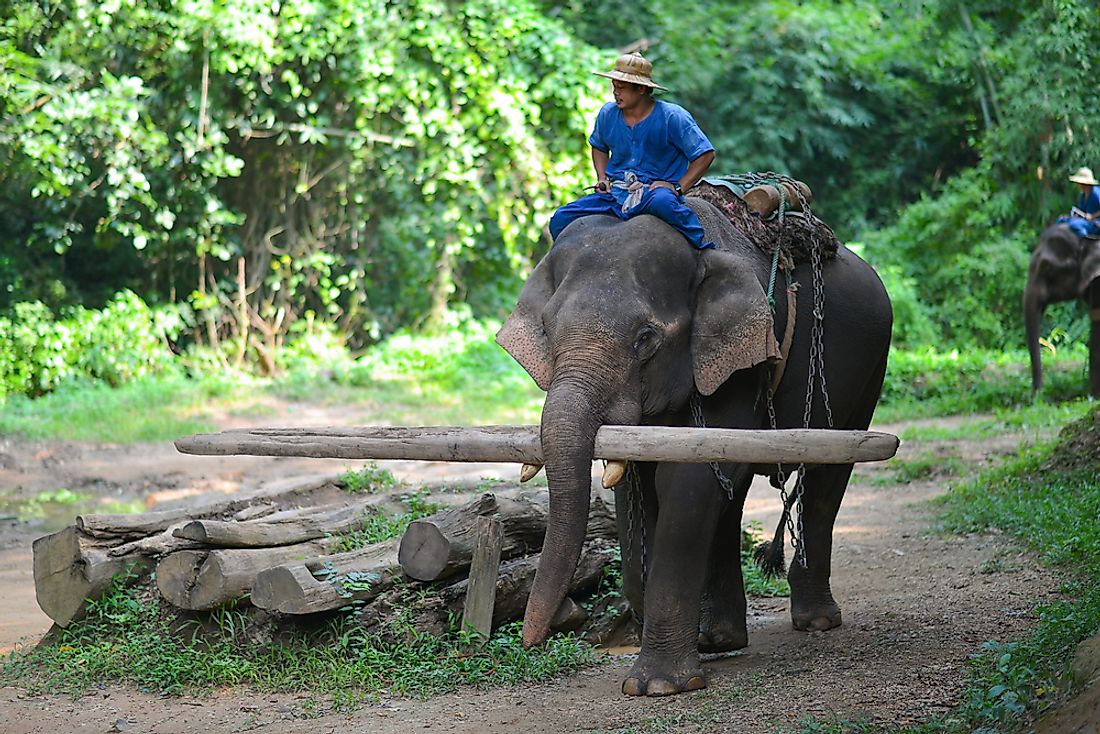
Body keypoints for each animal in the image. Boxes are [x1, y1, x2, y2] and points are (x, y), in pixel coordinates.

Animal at [499, 196, 893, 699]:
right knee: (733, 491)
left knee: (826, 478)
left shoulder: (742, 358)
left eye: (646, 338)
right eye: (547, 330)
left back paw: (817, 622)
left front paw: (656, 686)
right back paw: (718, 638)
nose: (530, 641)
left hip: (870, 370)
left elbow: (687, 479)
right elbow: (642, 480)